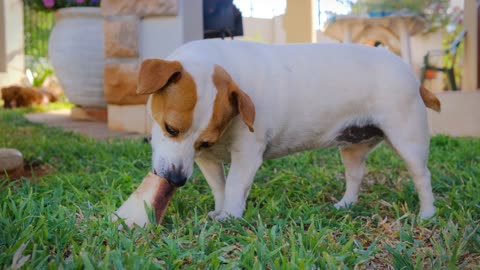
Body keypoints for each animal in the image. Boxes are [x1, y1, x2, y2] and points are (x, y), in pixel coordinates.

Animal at [118, 39, 440, 223]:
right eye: (171, 129)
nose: (175, 179)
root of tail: (412, 75)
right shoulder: (207, 160)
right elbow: (219, 187)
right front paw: (220, 210)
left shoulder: (247, 154)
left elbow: (234, 186)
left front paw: (229, 217)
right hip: (353, 147)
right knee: (355, 176)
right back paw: (346, 204)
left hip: (407, 140)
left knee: (422, 177)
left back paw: (427, 214)